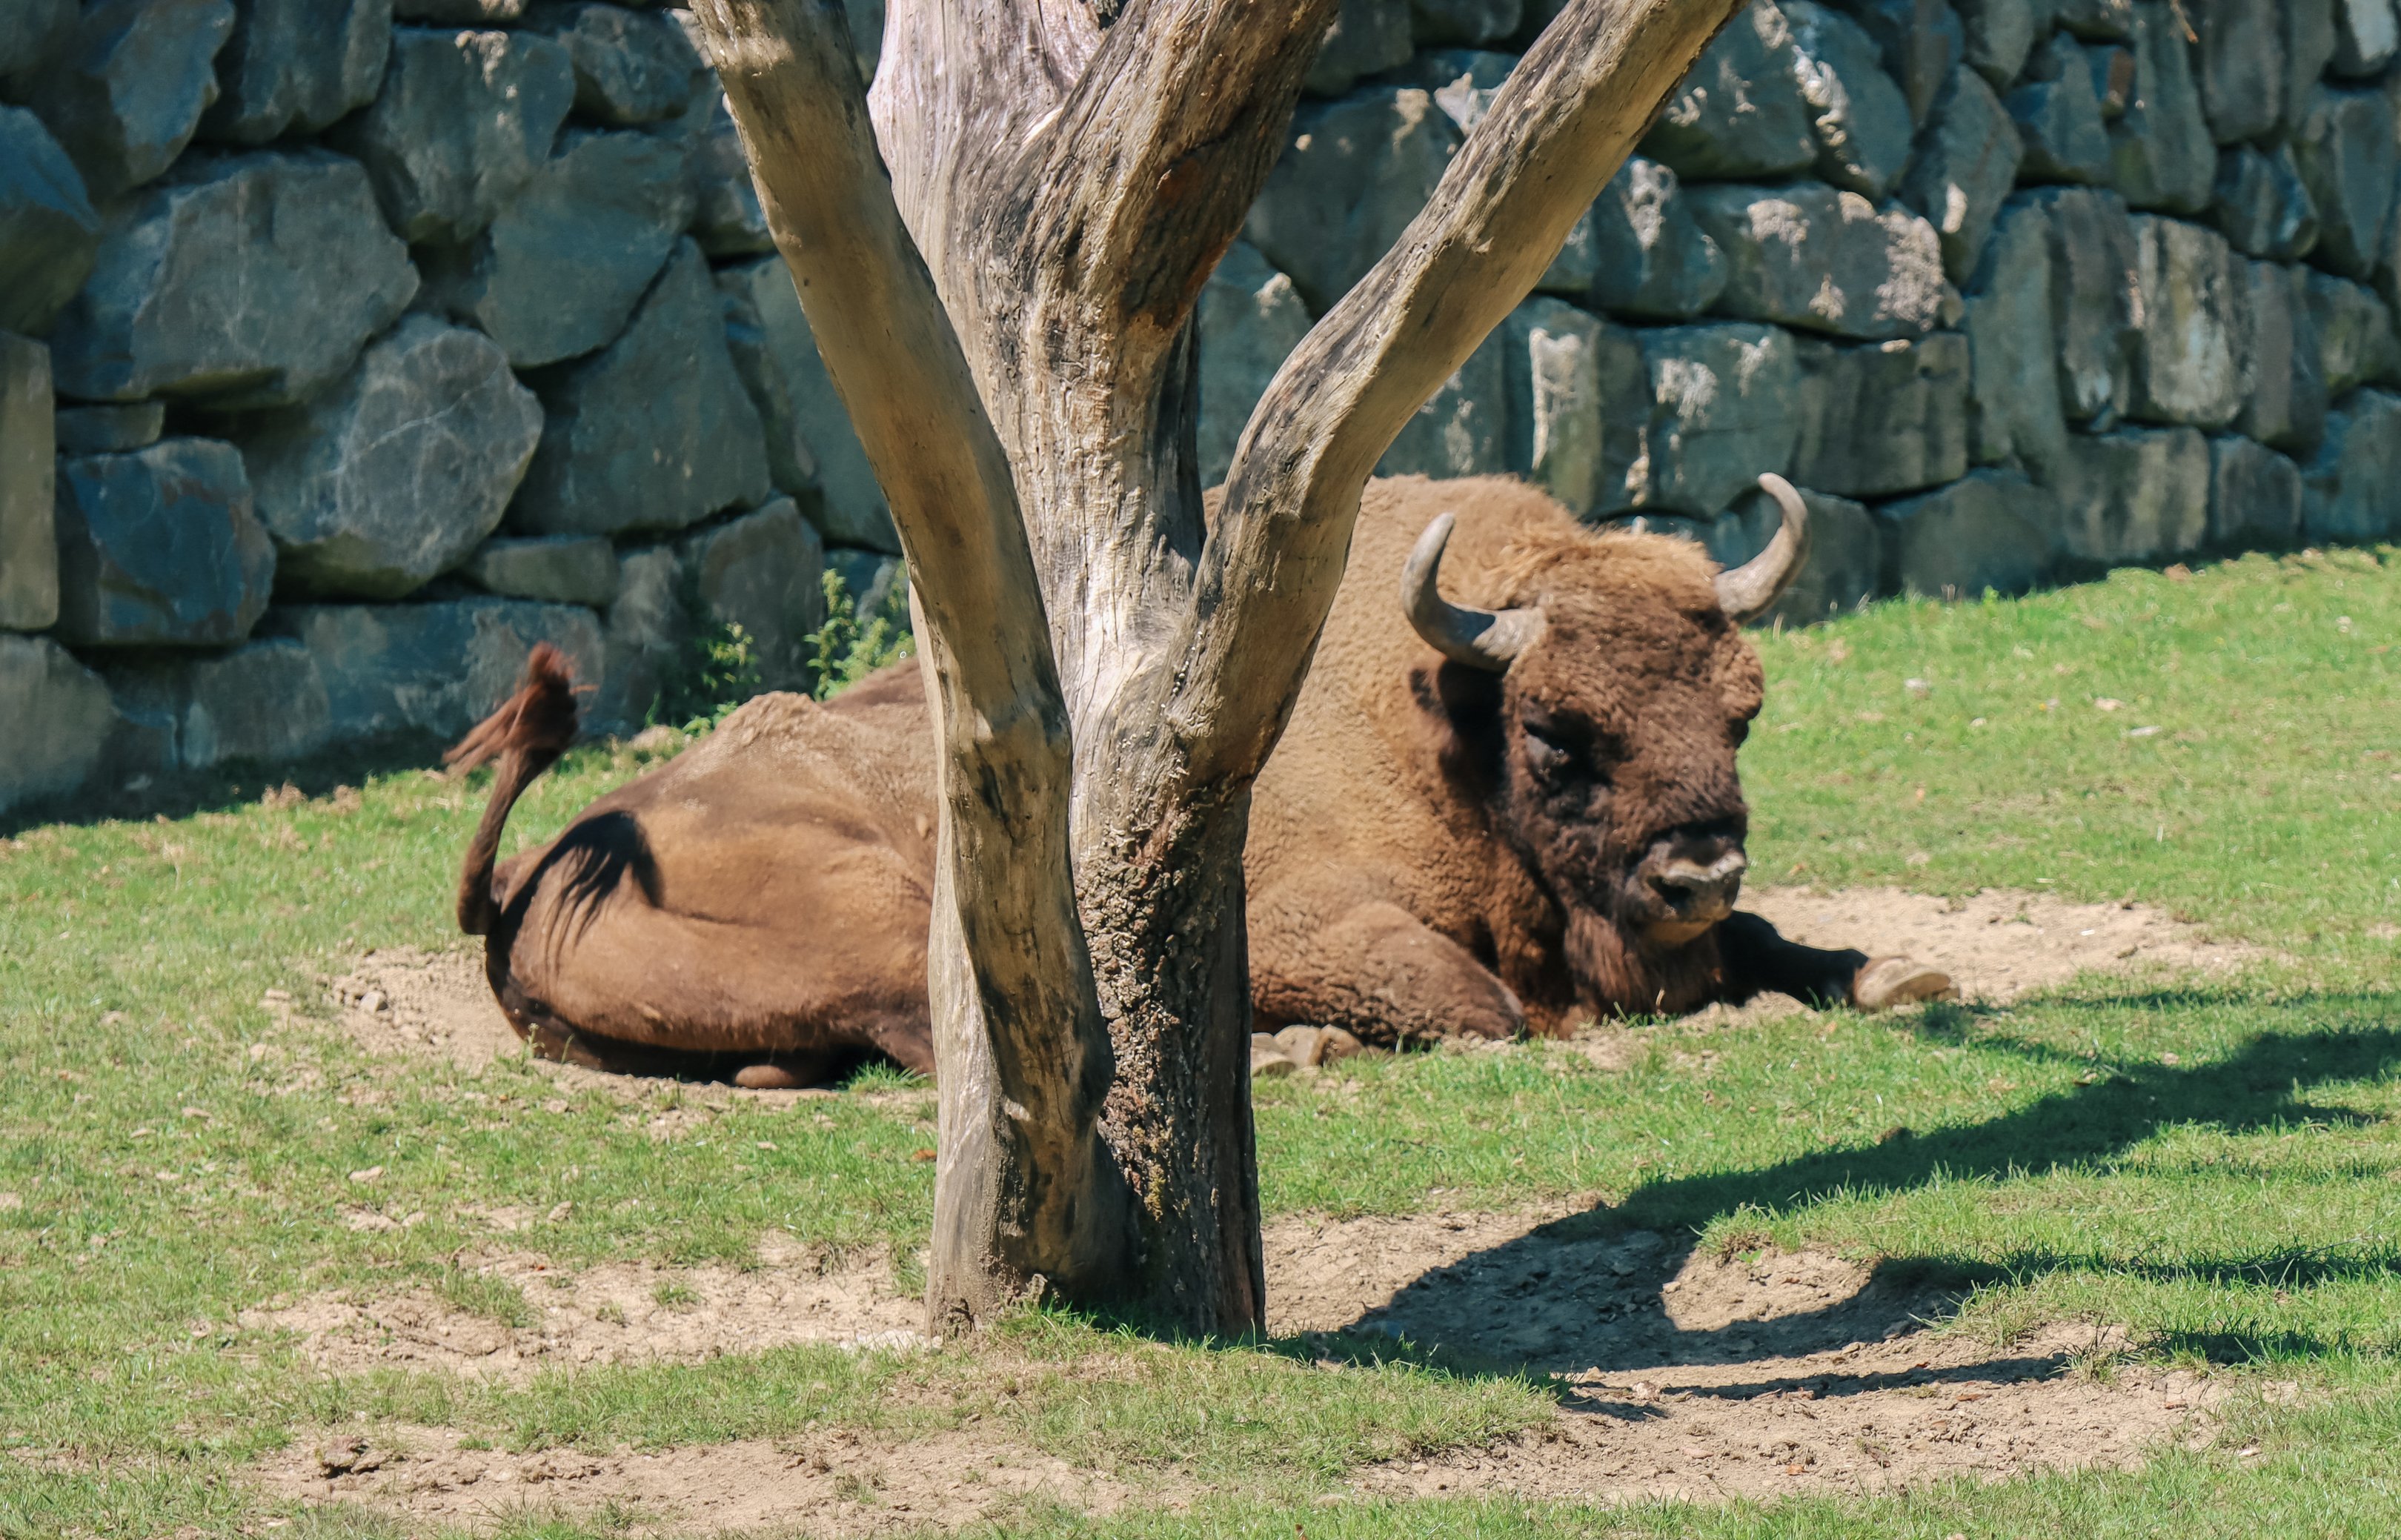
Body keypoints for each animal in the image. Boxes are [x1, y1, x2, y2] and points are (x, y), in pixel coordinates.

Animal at [450, 474, 1950, 1086]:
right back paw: (1290, 1053)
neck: (1435, 716)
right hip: (881, 911)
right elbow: (1479, 1005)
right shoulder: (1299, 920)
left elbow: (1789, 944)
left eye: (1744, 710)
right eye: (1557, 732)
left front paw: (1895, 972)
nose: (1698, 868)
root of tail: (532, 876)